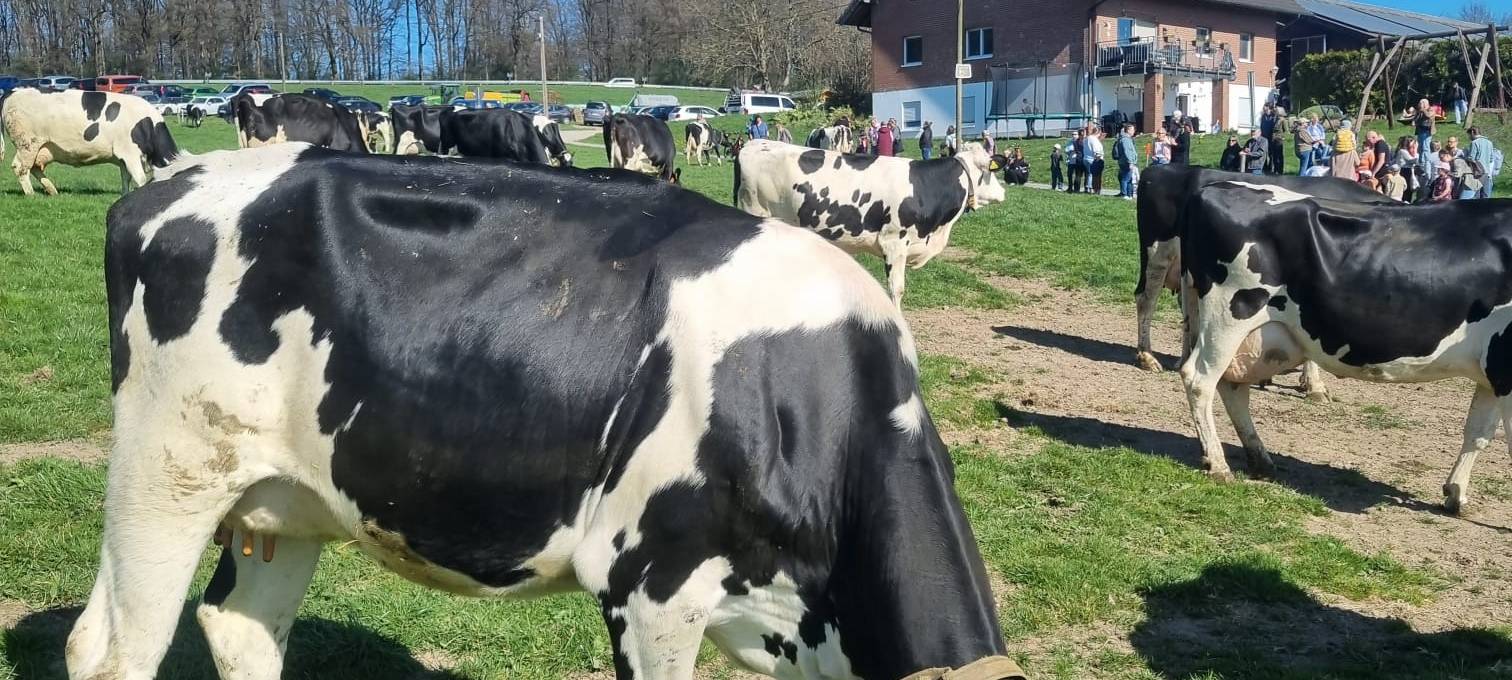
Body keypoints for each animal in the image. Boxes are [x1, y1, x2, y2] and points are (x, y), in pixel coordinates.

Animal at [0, 88, 178, 196]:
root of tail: (15, 90)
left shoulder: (124, 159)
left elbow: (125, 179)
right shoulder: (130, 154)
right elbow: (140, 179)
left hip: (41, 148)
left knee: (35, 168)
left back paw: (52, 191)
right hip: (27, 143)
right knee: (20, 168)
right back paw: (31, 194)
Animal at [1179, 181, 1512, 515]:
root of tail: (1213, 188)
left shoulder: (1494, 373)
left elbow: (1478, 433)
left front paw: (1456, 495)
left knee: (1232, 386)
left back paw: (1259, 459)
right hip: (1230, 314)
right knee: (1199, 380)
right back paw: (1219, 465)